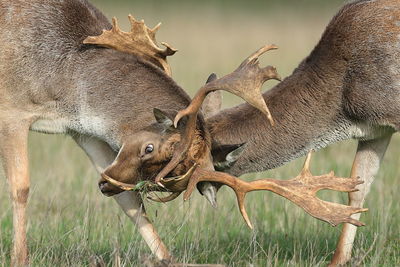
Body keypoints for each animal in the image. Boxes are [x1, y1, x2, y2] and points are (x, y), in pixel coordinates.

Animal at [0, 0, 372, 266]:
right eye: (150, 148)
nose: (105, 185)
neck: (68, 75)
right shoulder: (12, 110)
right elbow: (21, 187)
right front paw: (20, 259)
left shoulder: (82, 131)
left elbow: (130, 202)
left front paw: (168, 258)